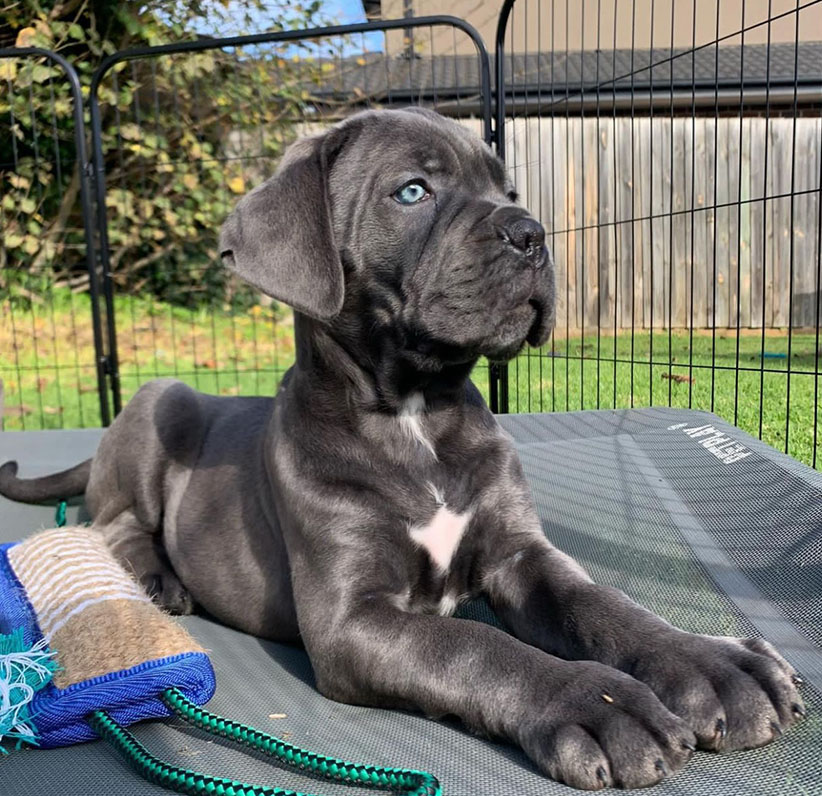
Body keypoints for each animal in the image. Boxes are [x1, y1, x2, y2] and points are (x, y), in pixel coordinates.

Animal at [1, 107, 804, 788]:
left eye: (508, 190)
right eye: (412, 192)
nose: (532, 233)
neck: (416, 417)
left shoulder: (522, 554)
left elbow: (604, 605)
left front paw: (712, 664)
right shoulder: (351, 620)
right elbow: (478, 646)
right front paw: (598, 702)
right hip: (158, 400)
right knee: (110, 522)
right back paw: (155, 576)